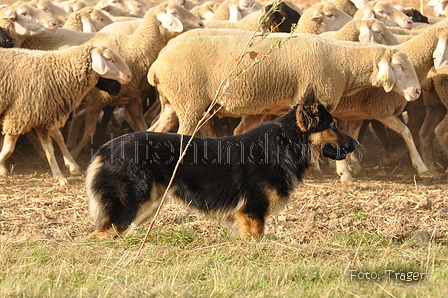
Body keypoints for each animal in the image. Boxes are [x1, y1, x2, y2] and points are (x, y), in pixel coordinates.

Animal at [0, 43, 133, 186]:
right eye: (109, 58)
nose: (129, 76)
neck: (57, 73)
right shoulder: (19, 116)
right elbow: (9, 149)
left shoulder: (43, 116)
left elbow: (53, 144)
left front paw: (64, 171)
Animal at [86, 85, 358, 239]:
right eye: (333, 126)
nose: (356, 144)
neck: (286, 143)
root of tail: (107, 147)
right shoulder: (253, 213)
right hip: (130, 208)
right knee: (100, 234)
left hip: (146, 207)